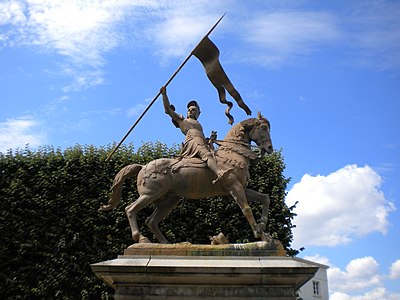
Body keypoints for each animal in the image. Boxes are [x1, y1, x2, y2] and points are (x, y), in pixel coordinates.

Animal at [100, 112, 274, 244]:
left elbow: (265, 198)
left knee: (151, 221)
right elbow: (247, 209)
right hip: (150, 194)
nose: (270, 148)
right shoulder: (234, 187)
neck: (232, 154)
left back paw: (166, 244)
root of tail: (142, 166)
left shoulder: (240, 188)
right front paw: (260, 234)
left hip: (170, 200)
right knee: (130, 209)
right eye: (264, 127)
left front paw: (262, 225)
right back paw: (142, 239)